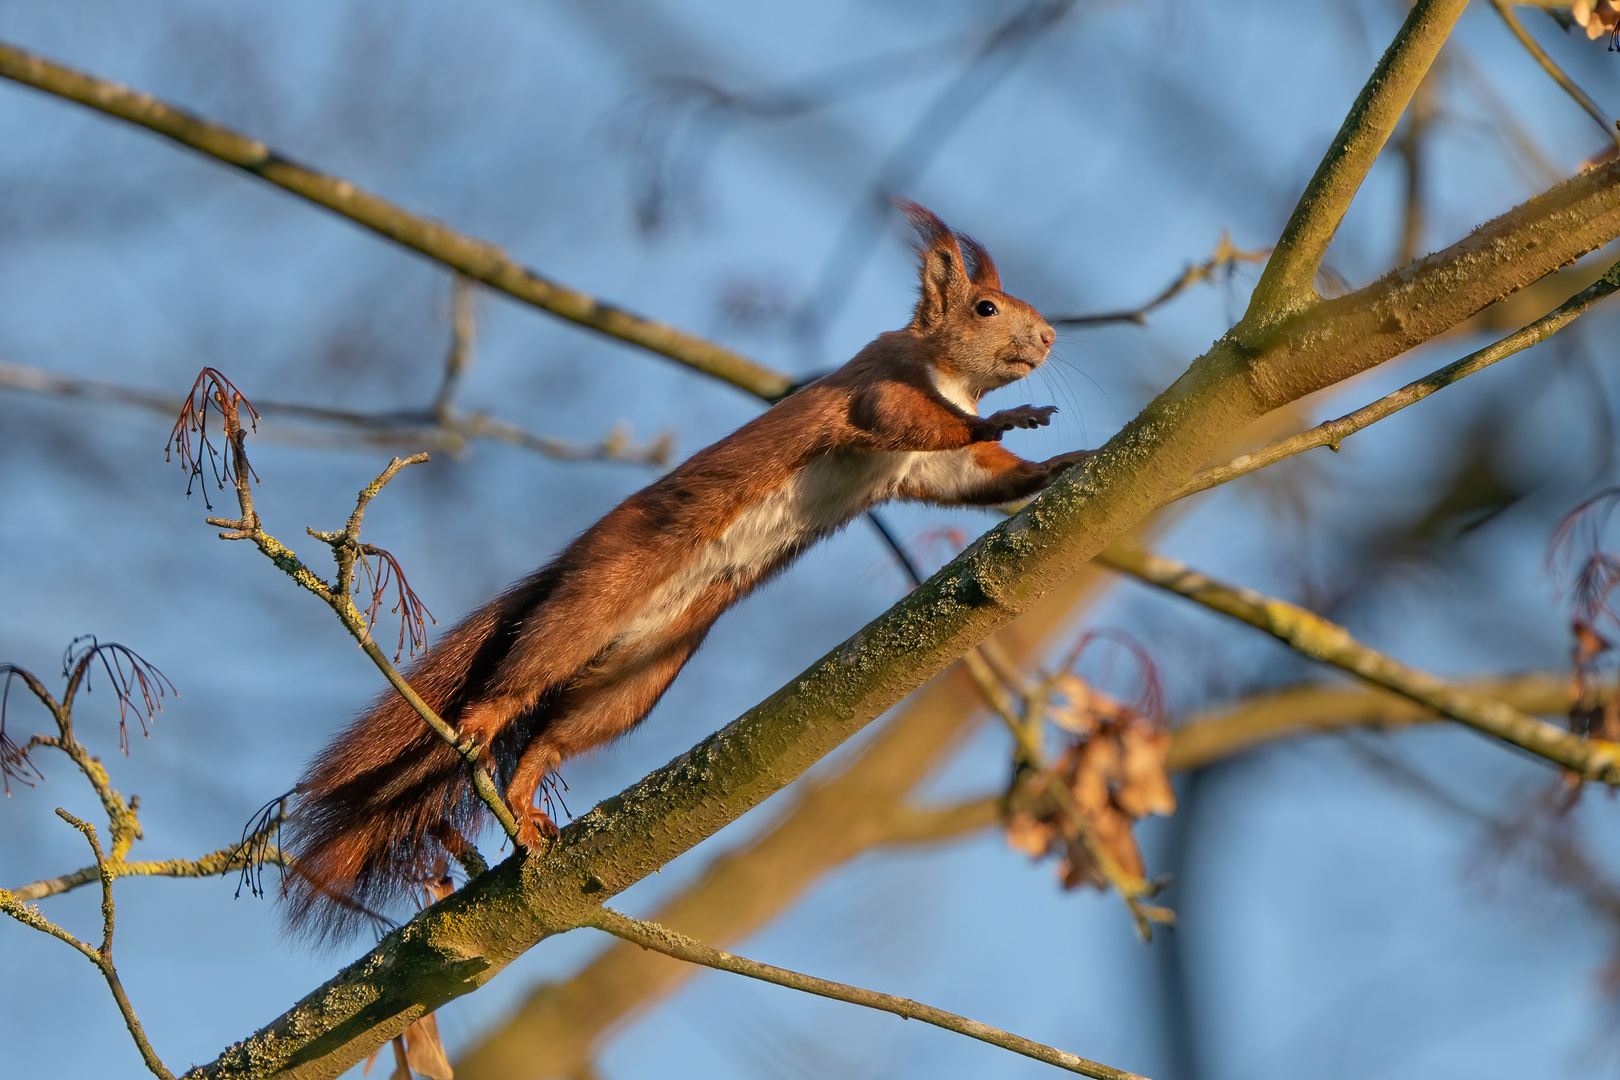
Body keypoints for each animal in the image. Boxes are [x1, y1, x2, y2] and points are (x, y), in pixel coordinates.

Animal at [281, 200, 1088, 939]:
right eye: (986, 307)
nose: (1050, 338)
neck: (948, 375)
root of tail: (572, 568)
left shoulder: (922, 469)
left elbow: (968, 481)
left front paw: (1058, 465)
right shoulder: (879, 383)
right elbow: (903, 416)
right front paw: (1005, 420)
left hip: (639, 675)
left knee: (552, 736)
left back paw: (525, 804)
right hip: (593, 600)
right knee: (521, 676)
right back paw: (481, 721)